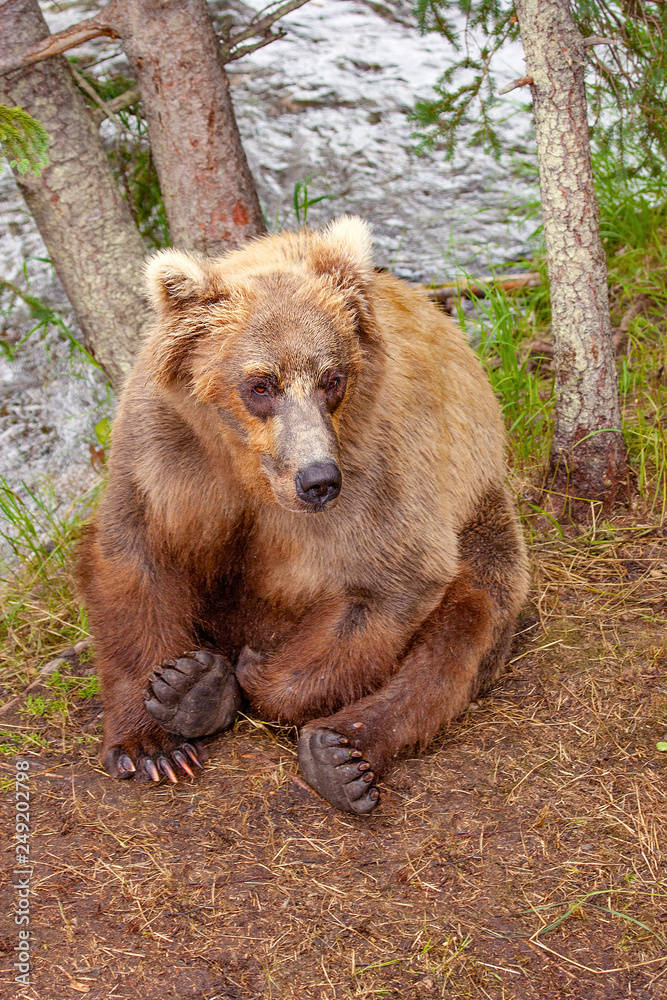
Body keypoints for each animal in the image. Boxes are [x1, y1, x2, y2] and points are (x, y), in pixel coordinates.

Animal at [76, 217, 529, 815]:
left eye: (332, 378)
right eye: (260, 383)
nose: (317, 480)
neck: (251, 473)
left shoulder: (379, 468)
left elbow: (387, 584)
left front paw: (250, 675)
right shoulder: (167, 455)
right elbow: (135, 556)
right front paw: (154, 739)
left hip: (481, 508)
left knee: (469, 620)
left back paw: (338, 755)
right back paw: (197, 689)